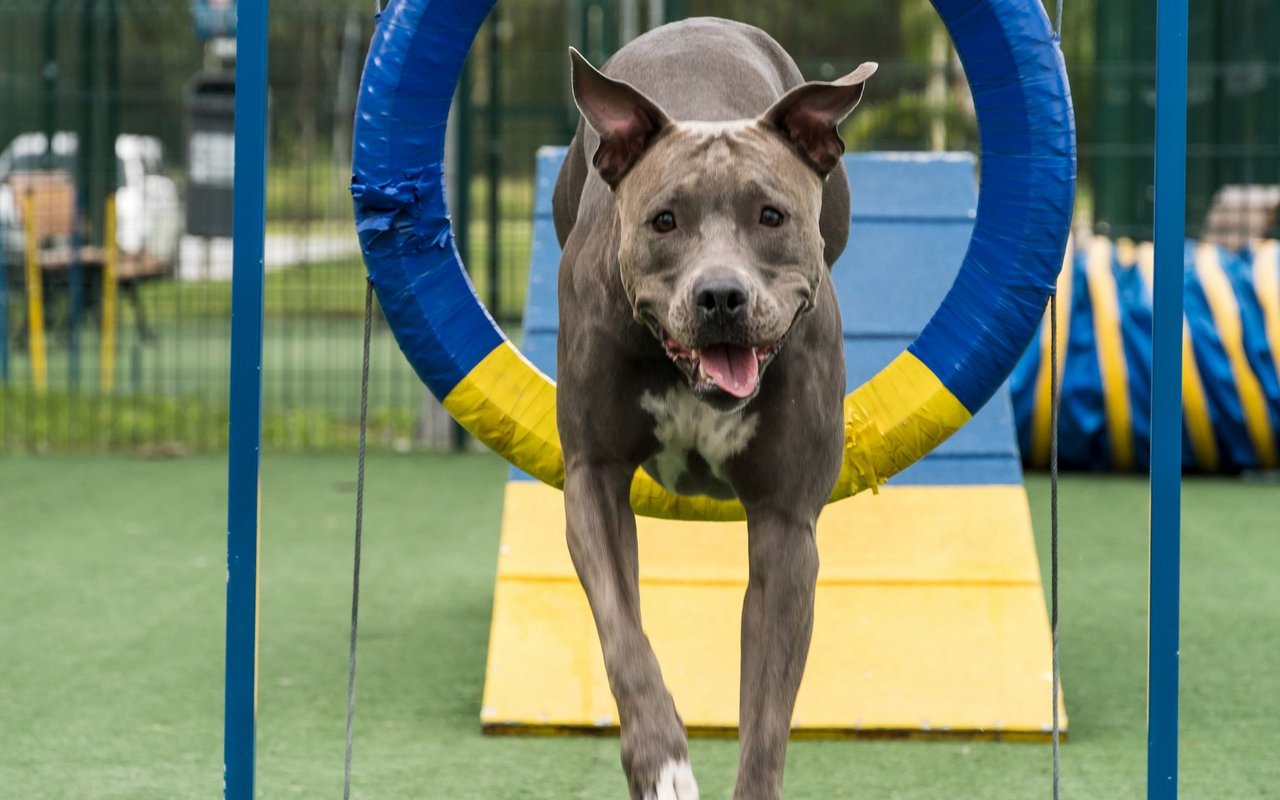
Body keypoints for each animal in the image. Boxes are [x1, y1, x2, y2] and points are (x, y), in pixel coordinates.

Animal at [555, 15, 875, 793]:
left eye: (771, 215)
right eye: (664, 220)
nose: (721, 296)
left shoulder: (787, 526)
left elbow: (767, 711)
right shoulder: (592, 478)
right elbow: (624, 635)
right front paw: (661, 761)